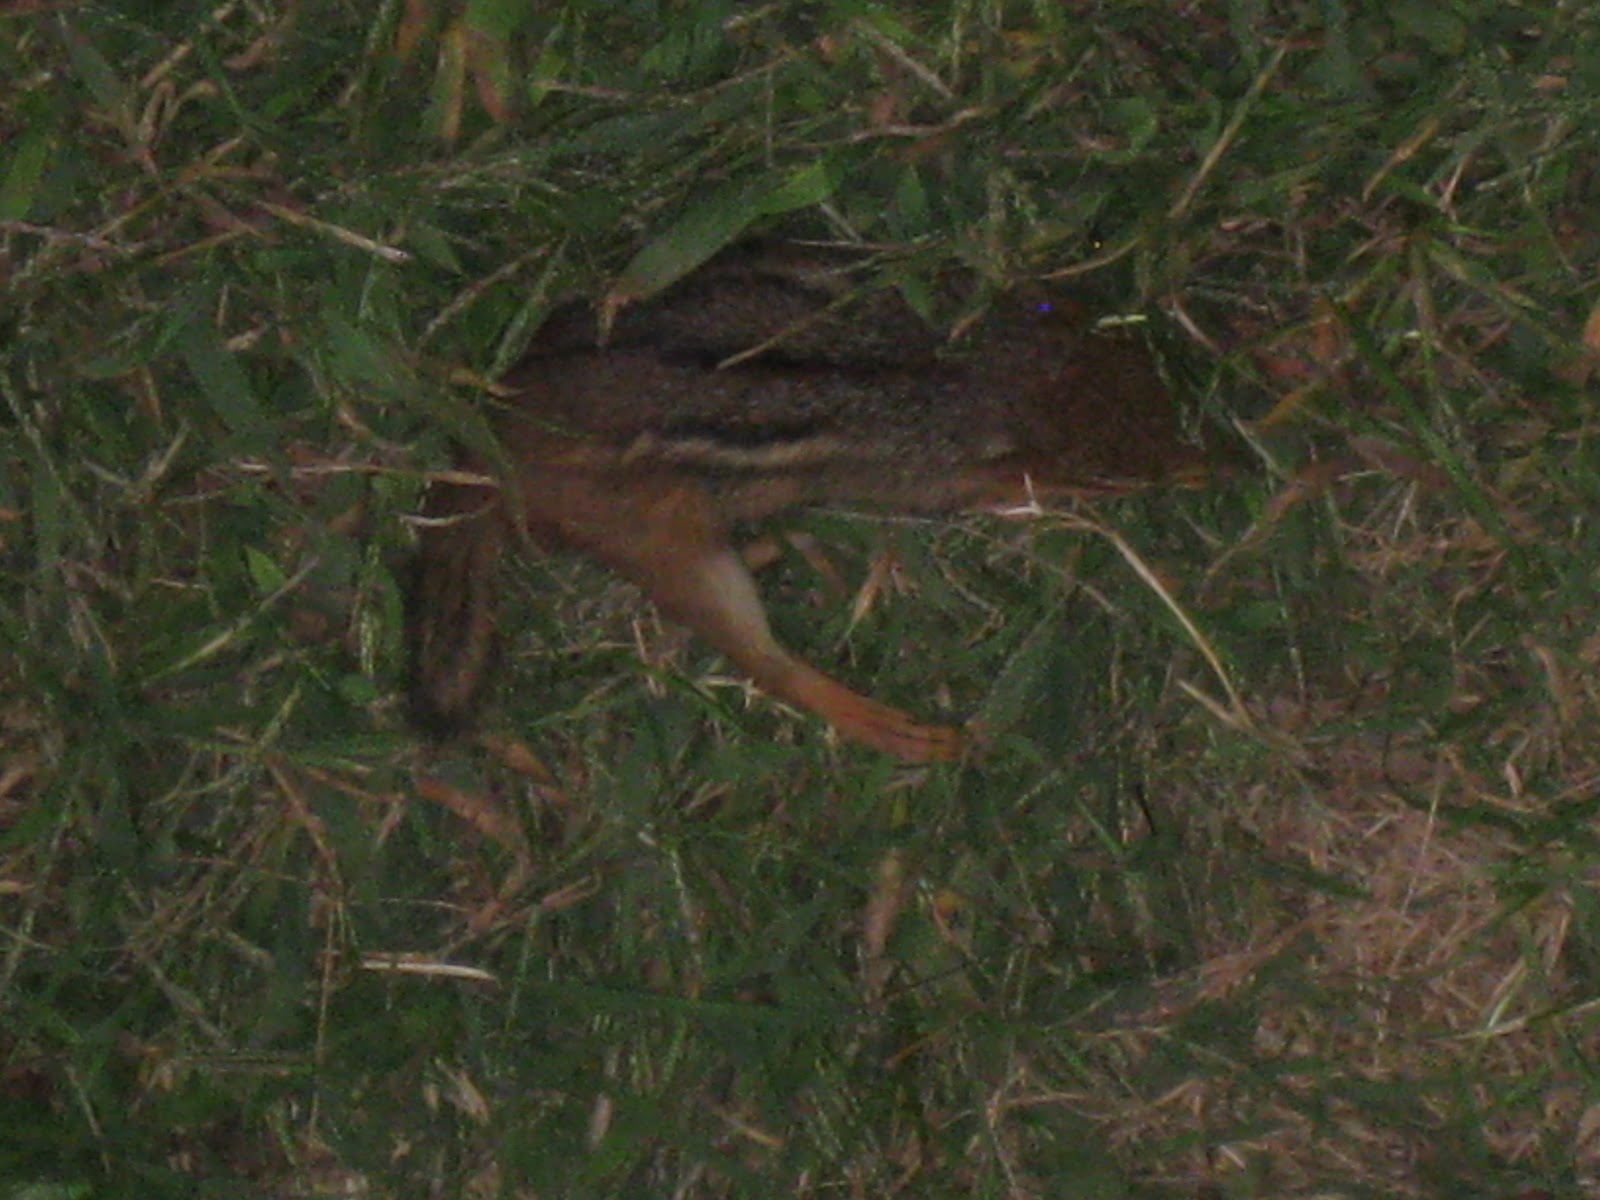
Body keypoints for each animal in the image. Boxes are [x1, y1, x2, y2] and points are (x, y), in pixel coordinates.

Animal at [407, 245, 1201, 762]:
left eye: (1139, 355)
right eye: (1107, 477)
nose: (1201, 461)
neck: (948, 368)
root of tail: (487, 447)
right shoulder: (926, 476)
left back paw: (780, 541)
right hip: (660, 543)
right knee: (765, 662)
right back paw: (897, 729)